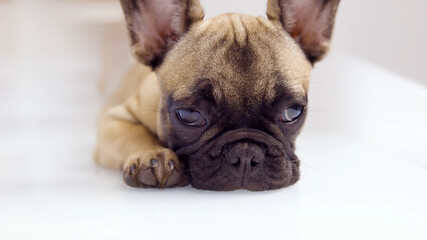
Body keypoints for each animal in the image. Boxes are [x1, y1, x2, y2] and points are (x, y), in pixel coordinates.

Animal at [94, 0, 342, 191]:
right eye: (189, 115)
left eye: (292, 112)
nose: (245, 153)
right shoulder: (113, 120)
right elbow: (133, 133)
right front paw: (152, 155)